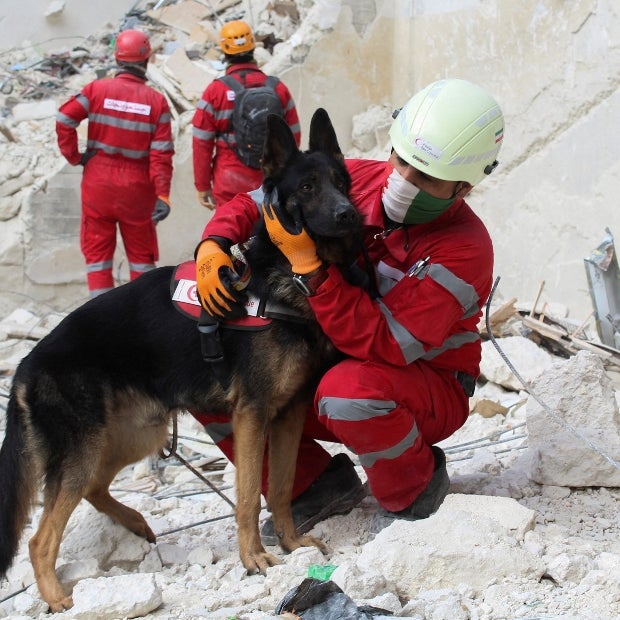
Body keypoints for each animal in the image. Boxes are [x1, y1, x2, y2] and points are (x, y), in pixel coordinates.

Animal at [0, 109, 364, 612]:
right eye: (307, 187)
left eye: (341, 182)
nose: (349, 214)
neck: (284, 276)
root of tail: (25, 365)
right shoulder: (252, 415)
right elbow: (250, 495)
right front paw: (253, 559)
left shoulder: (287, 416)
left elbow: (282, 488)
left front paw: (291, 545)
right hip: (86, 448)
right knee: (41, 538)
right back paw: (59, 598)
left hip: (135, 435)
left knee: (93, 489)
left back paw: (134, 522)